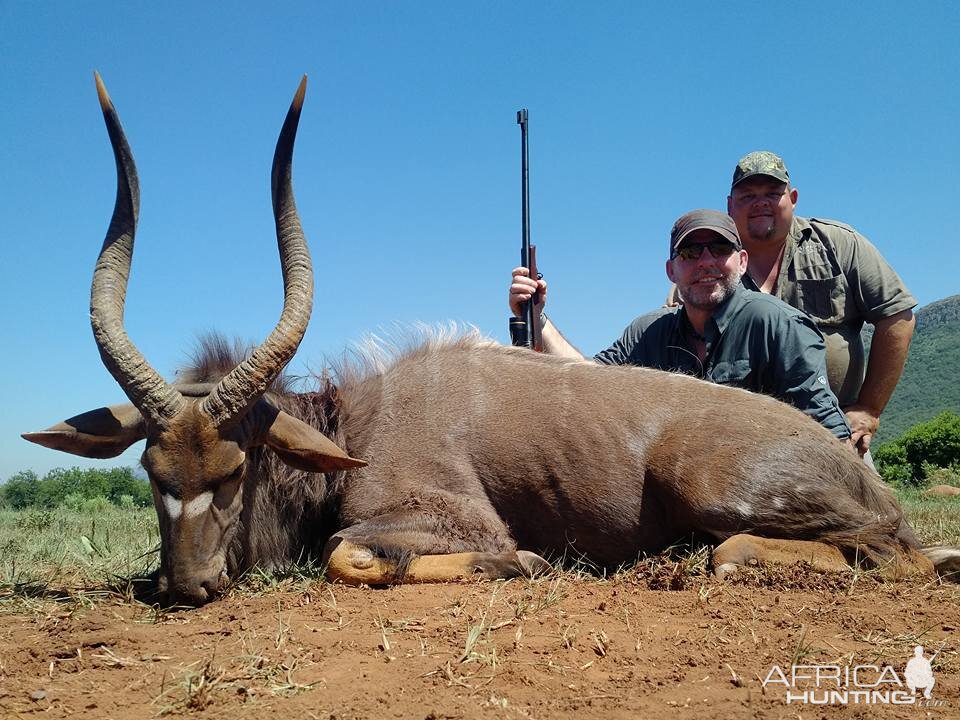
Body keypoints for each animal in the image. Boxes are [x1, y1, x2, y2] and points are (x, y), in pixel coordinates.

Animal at [24, 77, 960, 608]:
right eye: (153, 472)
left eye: (233, 468)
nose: (188, 585)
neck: (352, 425)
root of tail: (861, 472)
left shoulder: (443, 520)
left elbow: (347, 554)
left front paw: (528, 564)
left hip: (726, 494)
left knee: (855, 556)